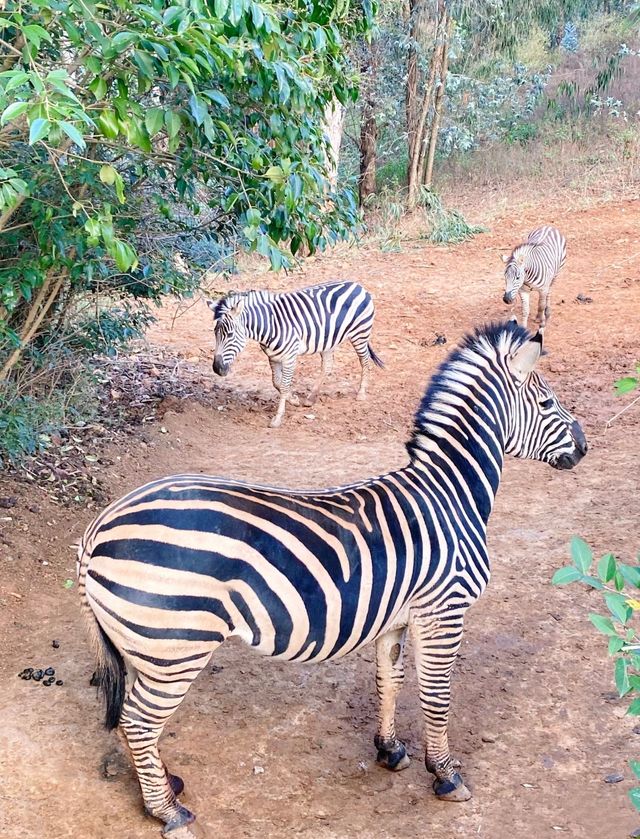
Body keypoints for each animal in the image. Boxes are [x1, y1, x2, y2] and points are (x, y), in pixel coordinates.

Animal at [77, 320, 588, 832]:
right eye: (547, 403)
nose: (585, 447)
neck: (450, 494)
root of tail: (98, 527)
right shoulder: (444, 611)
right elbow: (436, 696)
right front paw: (445, 775)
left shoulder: (398, 619)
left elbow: (389, 680)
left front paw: (390, 750)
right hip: (176, 645)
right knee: (139, 721)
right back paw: (167, 810)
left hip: (146, 647)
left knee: (131, 719)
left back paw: (163, 786)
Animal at [208, 280, 382, 426]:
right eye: (215, 333)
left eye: (230, 335)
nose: (217, 368)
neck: (269, 324)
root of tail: (357, 285)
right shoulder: (272, 357)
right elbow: (276, 383)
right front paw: (294, 400)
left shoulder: (290, 357)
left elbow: (284, 386)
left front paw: (278, 418)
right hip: (328, 341)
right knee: (327, 366)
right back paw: (310, 399)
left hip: (360, 333)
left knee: (364, 360)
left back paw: (361, 393)